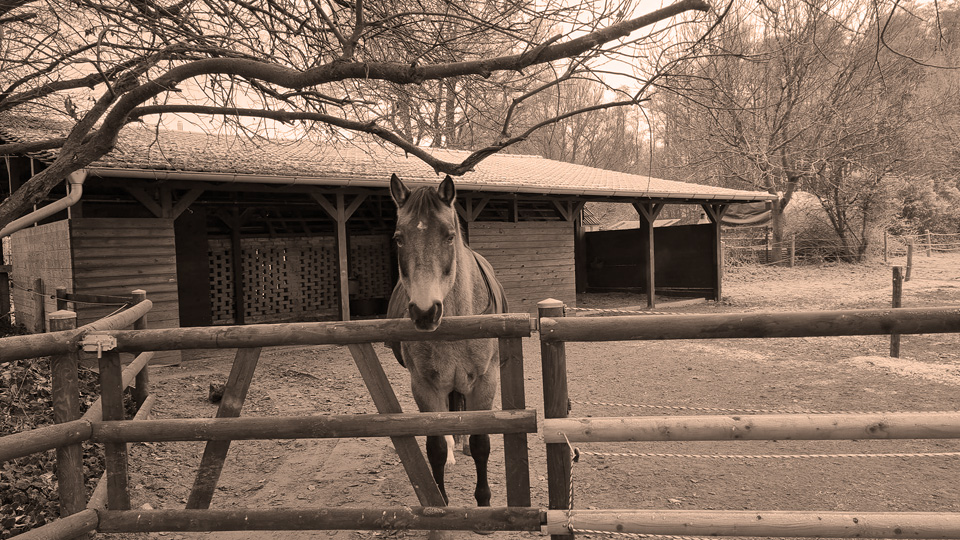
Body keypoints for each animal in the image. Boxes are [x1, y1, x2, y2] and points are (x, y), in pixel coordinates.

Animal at [385, 173, 507, 507]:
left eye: (449, 236)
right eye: (399, 238)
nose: (425, 311)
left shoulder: (485, 382)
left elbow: (481, 443)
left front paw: (484, 500)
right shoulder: (425, 386)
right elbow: (436, 446)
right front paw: (441, 501)